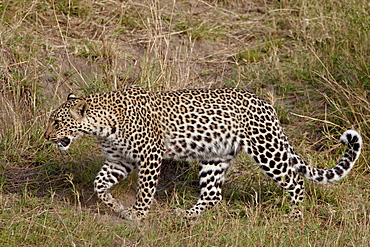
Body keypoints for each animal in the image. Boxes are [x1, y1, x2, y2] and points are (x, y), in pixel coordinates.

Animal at [44, 87, 362, 220]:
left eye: (57, 122)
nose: (46, 136)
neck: (101, 126)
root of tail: (267, 104)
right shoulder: (119, 160)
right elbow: (99, 185)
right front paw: (115, 206)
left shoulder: (149, 155)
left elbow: (145, 190)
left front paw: (136, 214)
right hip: (215, 158)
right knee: (213, 195)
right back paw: (186, 215)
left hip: (266, 149)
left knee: (295, 181)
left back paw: (294, 215)